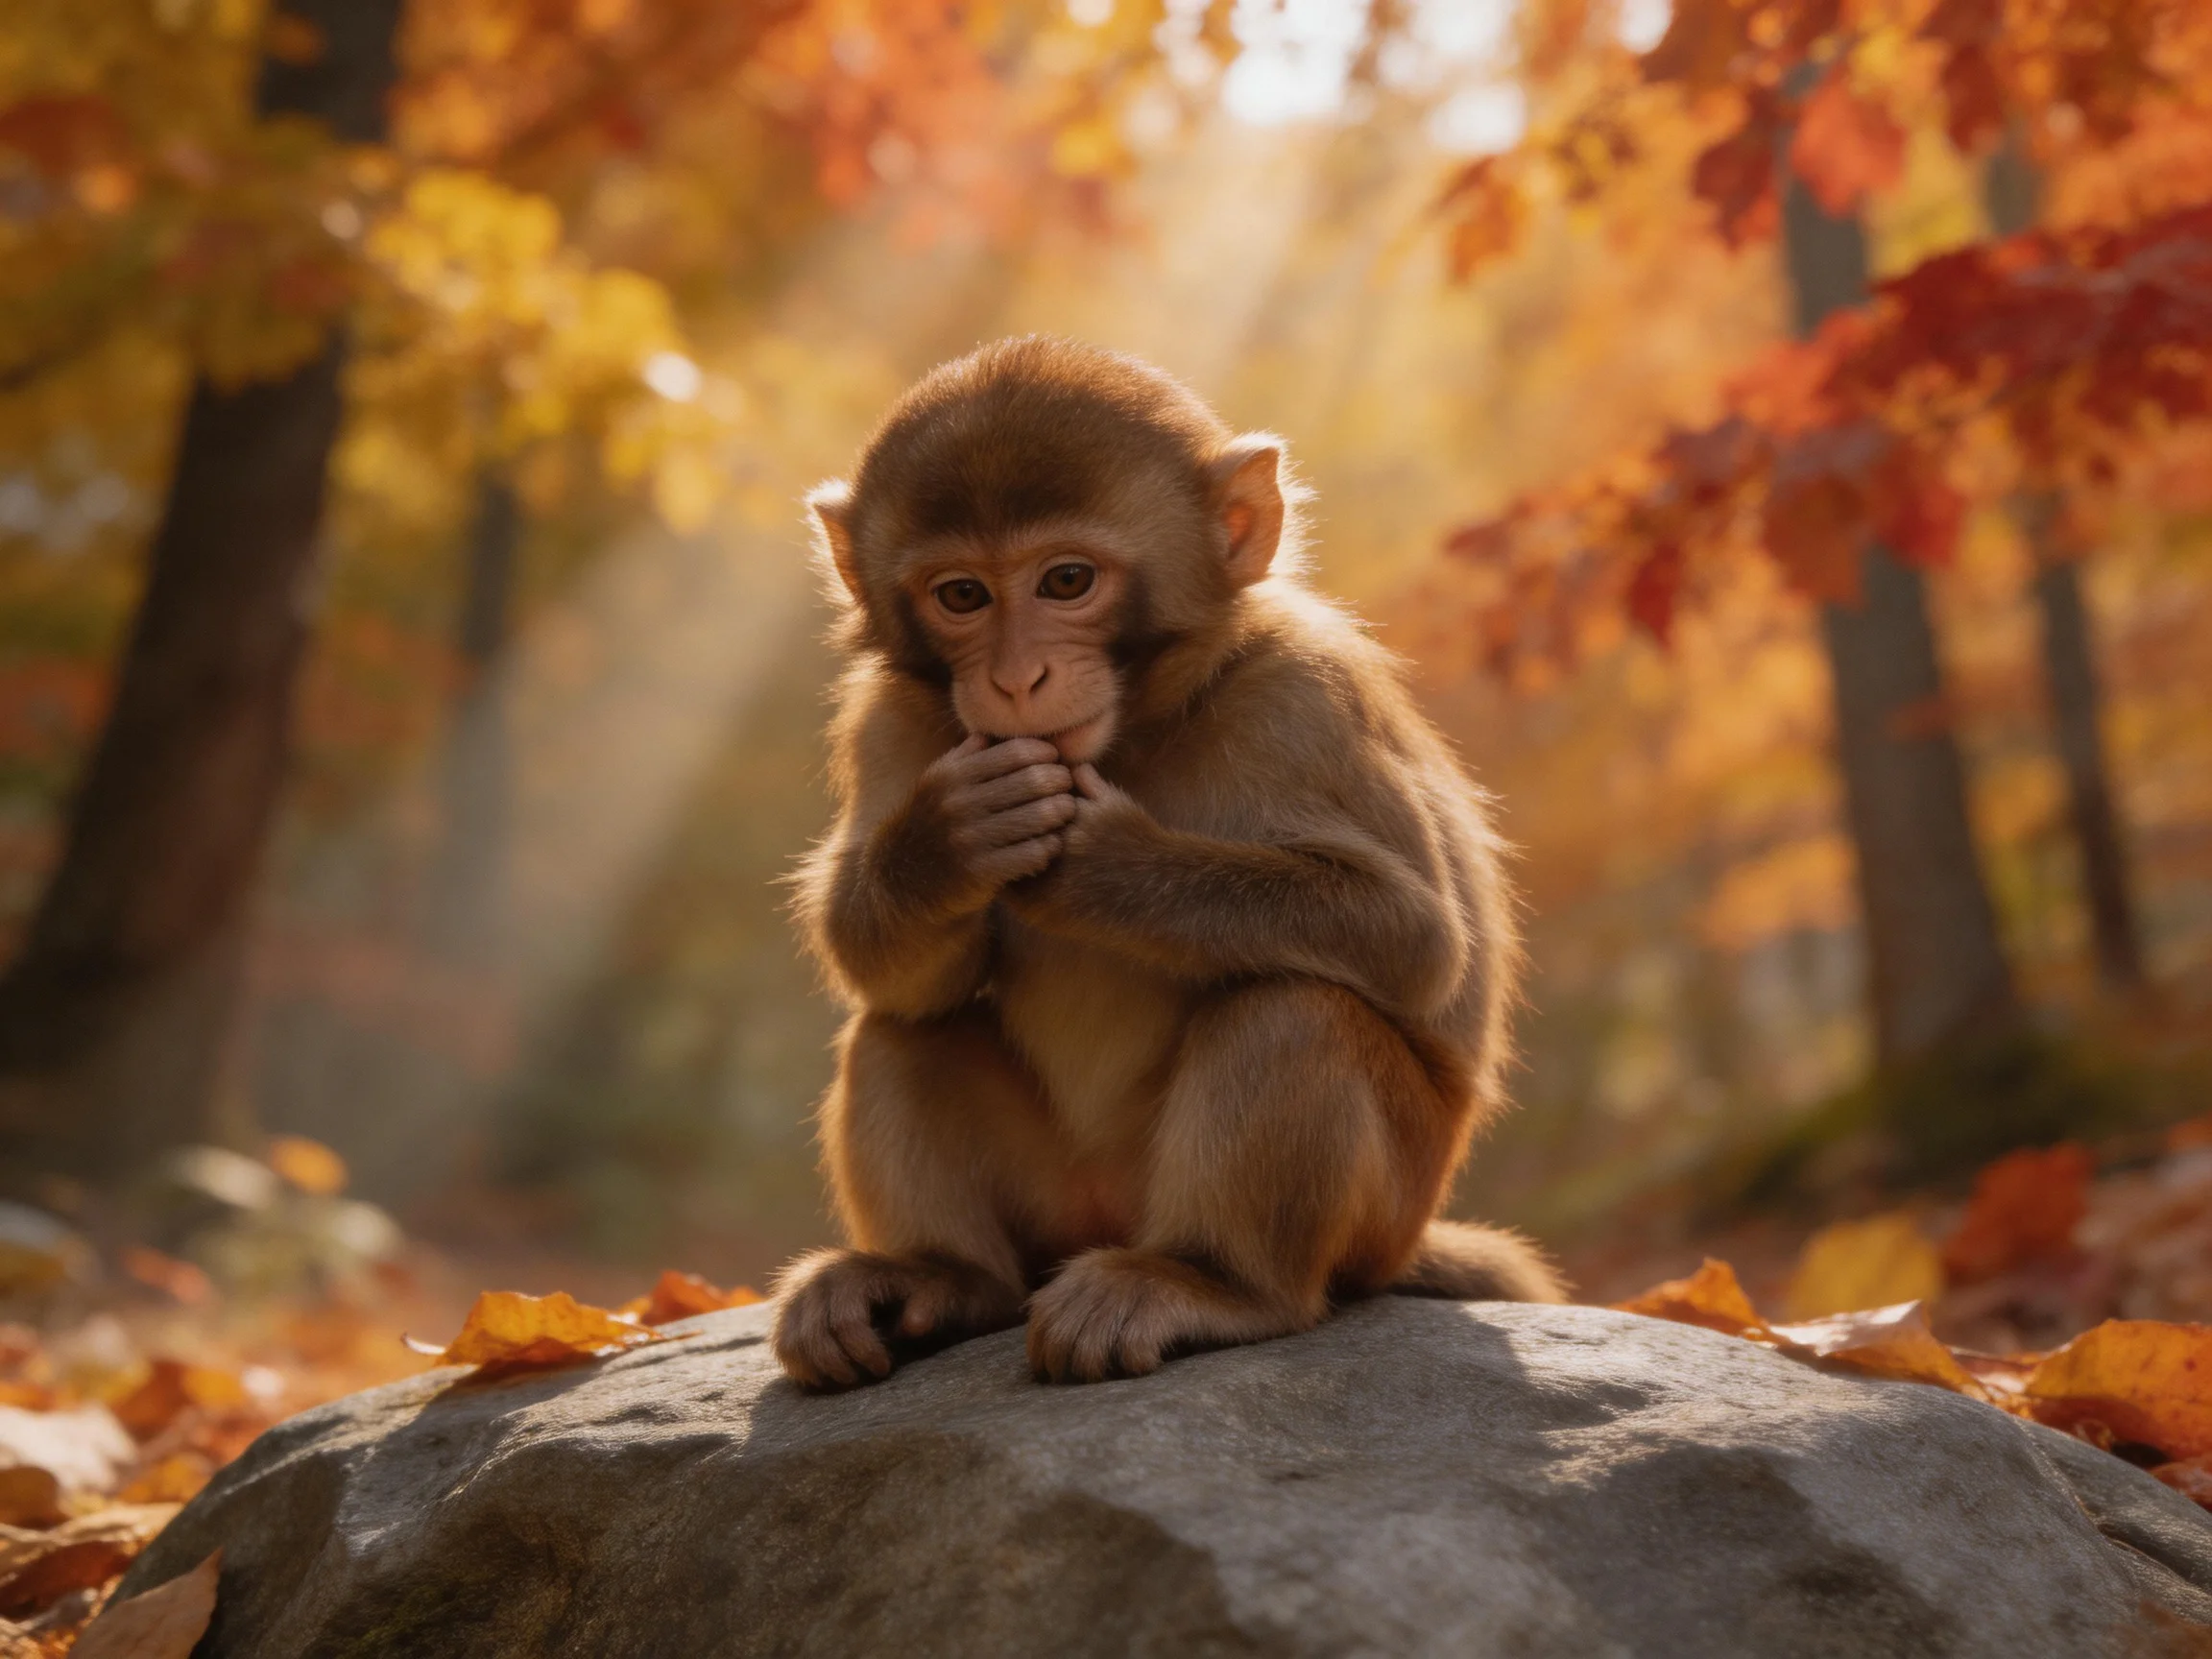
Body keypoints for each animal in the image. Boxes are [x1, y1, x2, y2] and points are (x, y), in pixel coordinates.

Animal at [773, 335, 1565, 1390]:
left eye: (1067, 582)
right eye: (962, 595)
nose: (1015, 679)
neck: (1137, 729)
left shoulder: (1304, 699)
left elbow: (1415, 938)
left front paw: (1105, 865)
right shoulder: (890, 720)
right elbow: (886, 969)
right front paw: (949, 844)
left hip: (1382, 1213)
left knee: (1292, 1010)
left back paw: (1214, 1284)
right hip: (1056, 1210)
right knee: (901, 1031)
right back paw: (939, 1280)